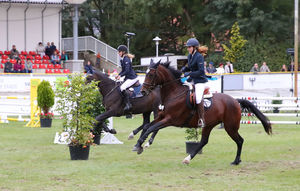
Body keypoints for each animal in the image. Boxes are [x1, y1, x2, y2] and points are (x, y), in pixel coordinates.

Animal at [134, 62, 272, 165]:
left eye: (151, 74)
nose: (143, 92)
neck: (173, 94)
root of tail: (235, 101)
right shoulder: (162, 117)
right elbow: (147, 126)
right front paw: (138, 144)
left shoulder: (169, 120)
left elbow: (151, 128)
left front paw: (139, 145)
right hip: (209, 125)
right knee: (203, 141)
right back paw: (187, 159)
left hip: (230, 127)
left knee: (240, 141)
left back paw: (236, 161)